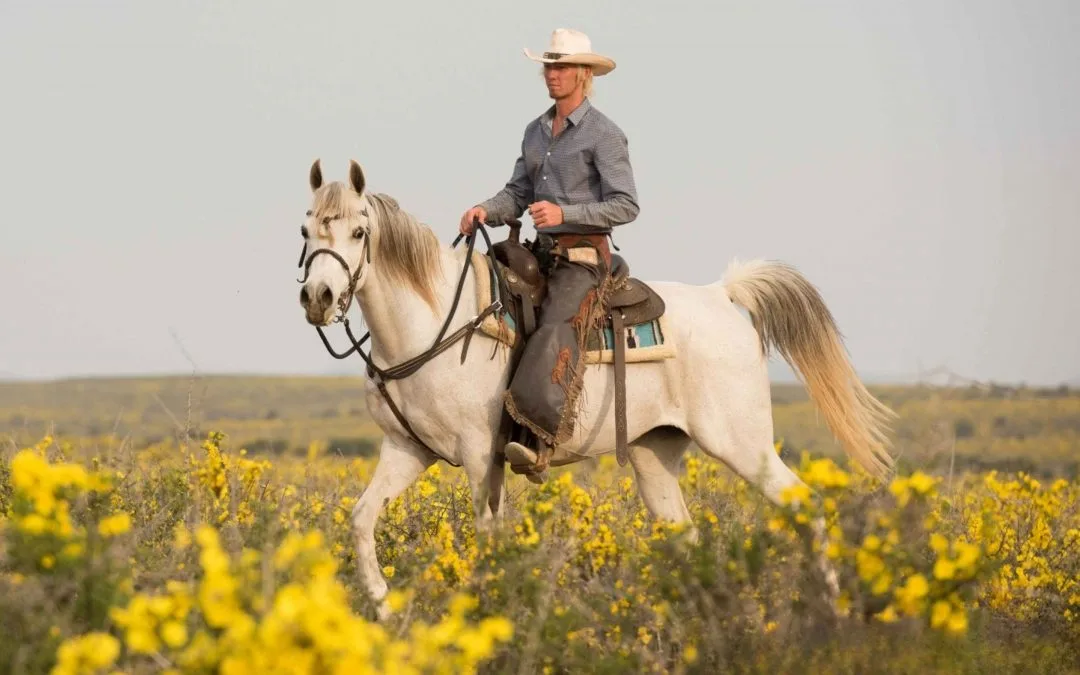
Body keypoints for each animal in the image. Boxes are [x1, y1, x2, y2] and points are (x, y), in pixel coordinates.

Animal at [296, 159, 895, 618]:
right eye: (307, 232)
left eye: (358, 233)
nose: (318, 298)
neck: (431, 324)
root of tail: (722, 295)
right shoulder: (407, 449)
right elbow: (362, 518)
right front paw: (383, 606)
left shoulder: (481, 454)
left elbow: (488, 536)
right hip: (655, 456)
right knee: (686, 537)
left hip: (742, 443)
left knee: (806, 506)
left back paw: (829, 611)